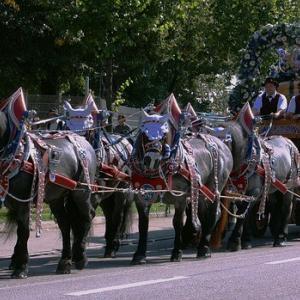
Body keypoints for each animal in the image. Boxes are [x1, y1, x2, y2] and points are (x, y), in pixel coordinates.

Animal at [0, 110, 96, 278]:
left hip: (81, 192)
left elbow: (23, 232)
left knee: (87, 216)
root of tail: (84, 141)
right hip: (56, 197)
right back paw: (65, 262)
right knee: (65, 224)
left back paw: (80, 257)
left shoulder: (23, 202)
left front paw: (21, 266)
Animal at [129, 109, 232, 264]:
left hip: (214, 188)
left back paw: (204, 248)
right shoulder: (142, 197)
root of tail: (222, 144)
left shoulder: (181, 198)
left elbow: (177, 223)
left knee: (214, 214)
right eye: (144, 133)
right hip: (200, 193)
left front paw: (177, 252)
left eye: (164, 134)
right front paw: (139, 255)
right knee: (203, 215)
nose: (151, 159)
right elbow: (143, 224)